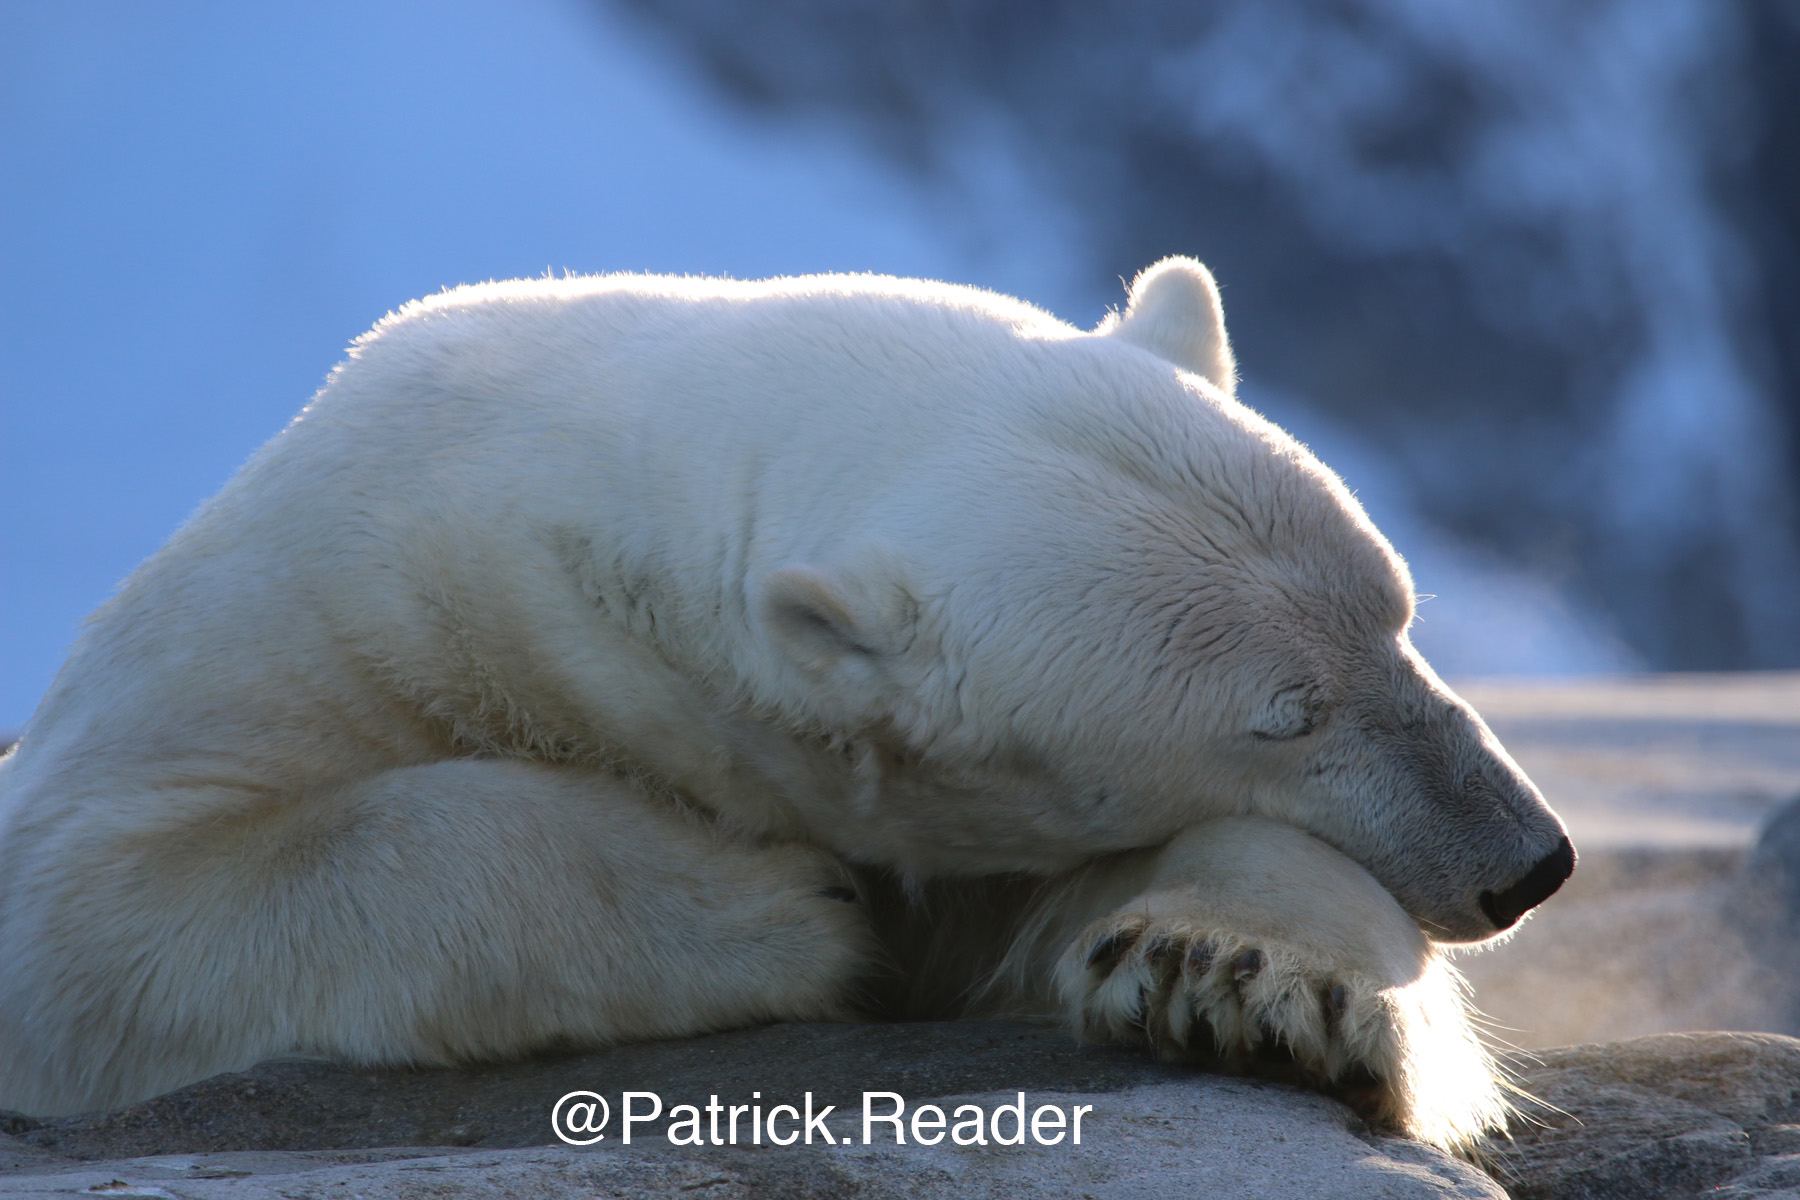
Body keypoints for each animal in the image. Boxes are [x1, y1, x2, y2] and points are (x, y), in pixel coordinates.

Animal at [0, 260, 1574, 1150]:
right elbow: (95, 907)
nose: (1525, 861)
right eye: (1284, 715)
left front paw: (1239, 981)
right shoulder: (316, 611)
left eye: (1399, 617)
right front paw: (773, 910)